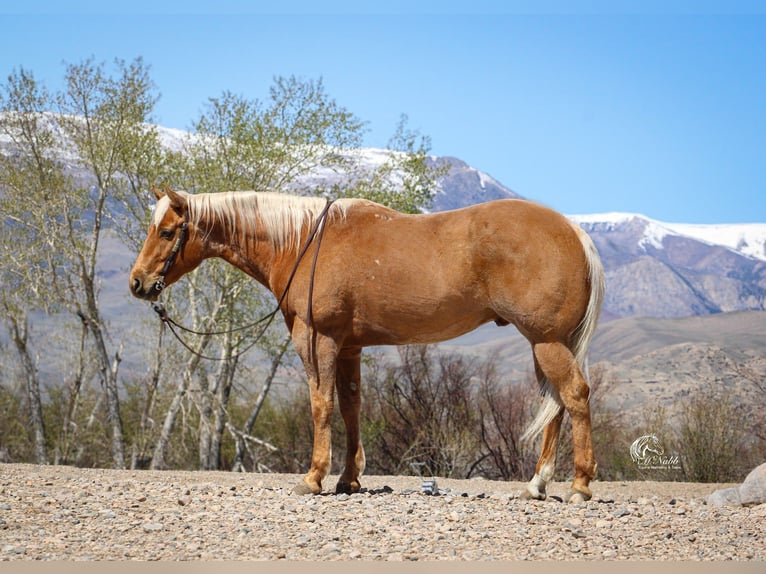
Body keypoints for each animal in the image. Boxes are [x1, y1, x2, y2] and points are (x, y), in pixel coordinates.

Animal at [129, 187, 605, 503]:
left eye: (168, 232)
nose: (138, 283)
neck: (302, 242)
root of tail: (574, 232)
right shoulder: (348, 347)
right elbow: (350, 407)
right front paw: (348, 479)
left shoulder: (317, 339)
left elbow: (320, 404)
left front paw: (314, 477)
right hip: (546, 344)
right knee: (555, 406)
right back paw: (537, 484)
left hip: (547, 342)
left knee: (574, 396)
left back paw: (580, 485)